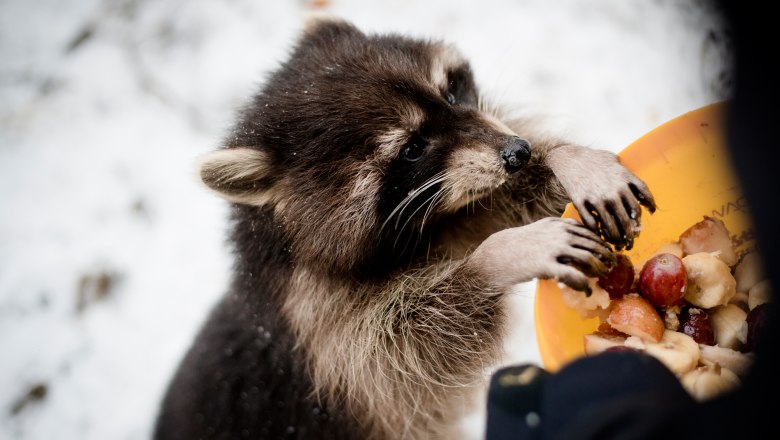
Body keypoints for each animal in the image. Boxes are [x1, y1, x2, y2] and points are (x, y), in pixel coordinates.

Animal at [152, 15, 652, 440]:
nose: (519, 151)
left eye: (450, 94)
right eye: (411, 149)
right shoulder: (321, 331)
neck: (421, 231)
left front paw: (566, 161)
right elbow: (409, 351)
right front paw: (499, 256)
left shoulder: (446, 209)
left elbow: (494, 203)